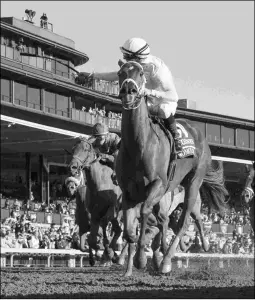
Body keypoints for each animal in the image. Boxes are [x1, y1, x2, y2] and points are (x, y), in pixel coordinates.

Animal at [116, 61, 228, 276]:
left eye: (140, 73)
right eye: (120, 73)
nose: (128, 90)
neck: (139, 143)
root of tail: (199, 133)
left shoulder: (158, 184)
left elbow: (145, 213)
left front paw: (141, 259)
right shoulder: (128, 192)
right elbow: (129, 230)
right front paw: (129, 262)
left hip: (193, 182)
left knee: (183, 222)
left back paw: (169, 260)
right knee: (176, 222)